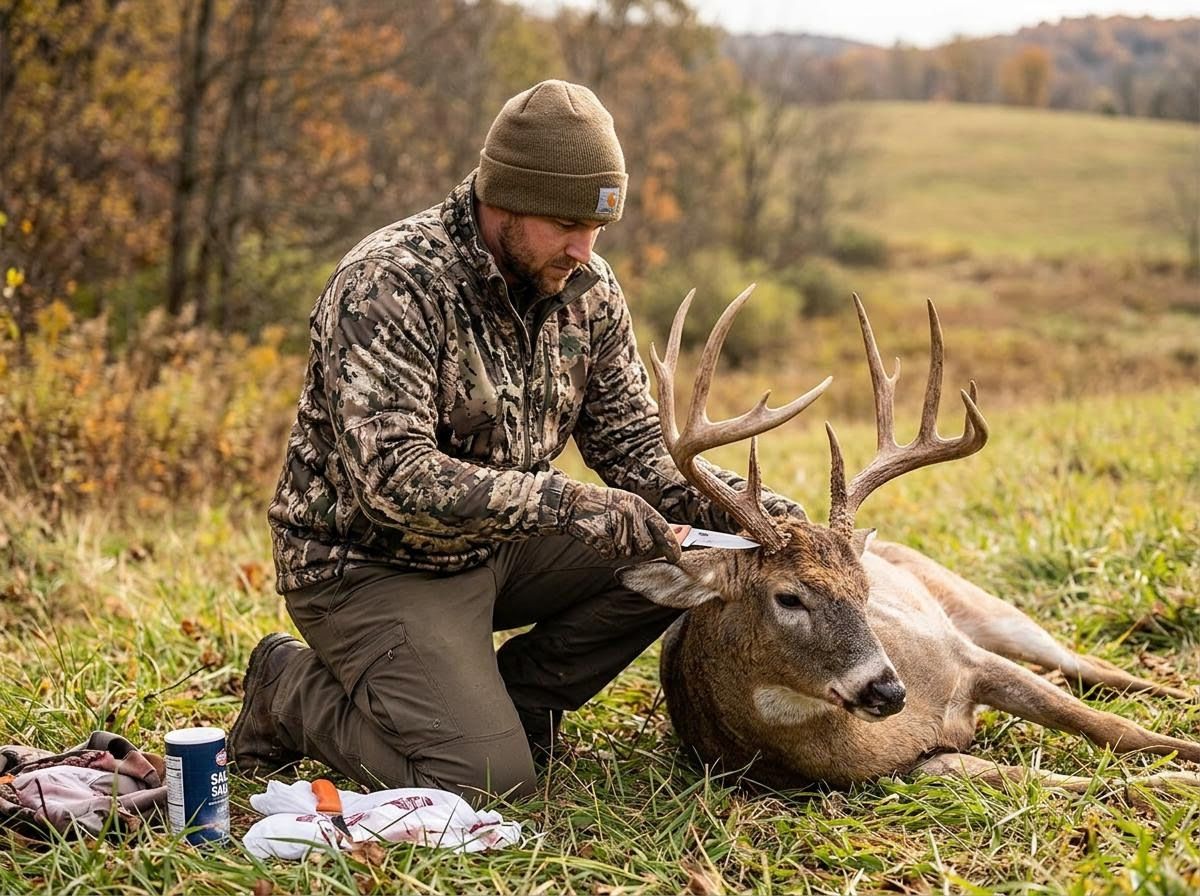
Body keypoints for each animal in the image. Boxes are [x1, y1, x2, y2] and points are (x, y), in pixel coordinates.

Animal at [618, 287, 1200, 793]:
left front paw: (1184, 760)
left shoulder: (966, 656)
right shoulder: (918, 766)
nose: (886, 689)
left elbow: (1113, 726)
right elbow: (1051, 781)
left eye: (865, 591)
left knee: (1089, 667)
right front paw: (1175, 782)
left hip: (978, 602)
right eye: (788, 597)